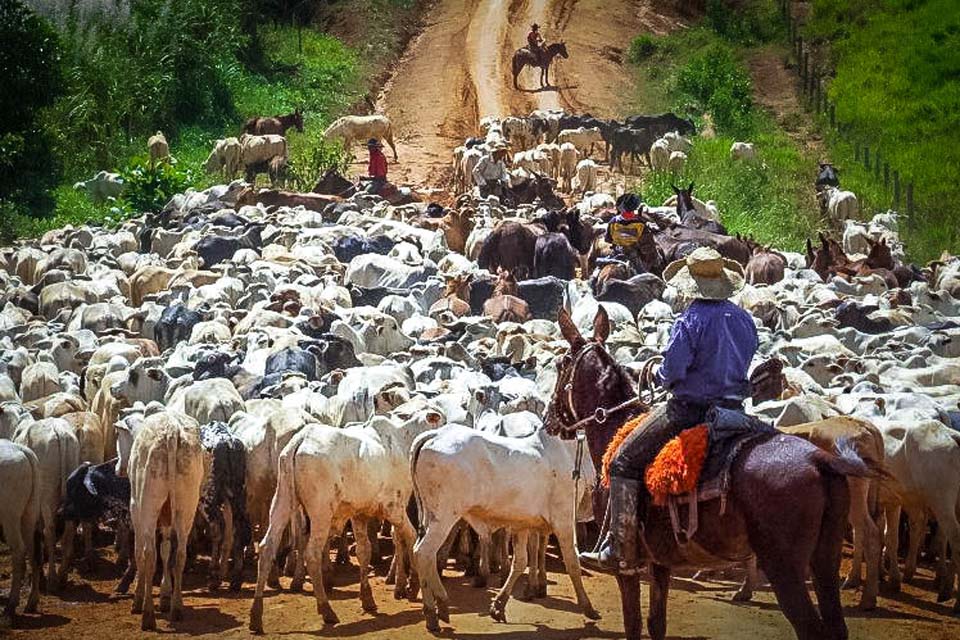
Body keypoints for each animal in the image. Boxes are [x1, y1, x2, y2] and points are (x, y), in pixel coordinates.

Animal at [544, 304, 872, 640]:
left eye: (561, 363)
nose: (549, 418)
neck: (615, 426)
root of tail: (821, 460)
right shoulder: (659, 560)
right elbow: (656, 623)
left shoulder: (627, 565)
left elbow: (633, 624)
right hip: (825, 560)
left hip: (785, 567)